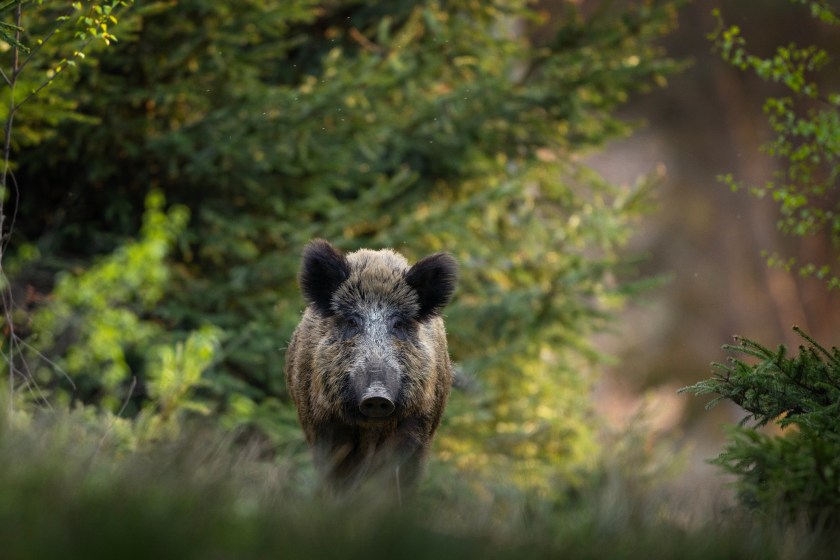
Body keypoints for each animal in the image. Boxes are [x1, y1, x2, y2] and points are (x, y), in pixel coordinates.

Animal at [284, 239, 457, 496]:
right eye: (352, 321)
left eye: (398, 324)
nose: (377, 395)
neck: (371, 428)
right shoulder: (325, 427)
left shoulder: (417, 429)